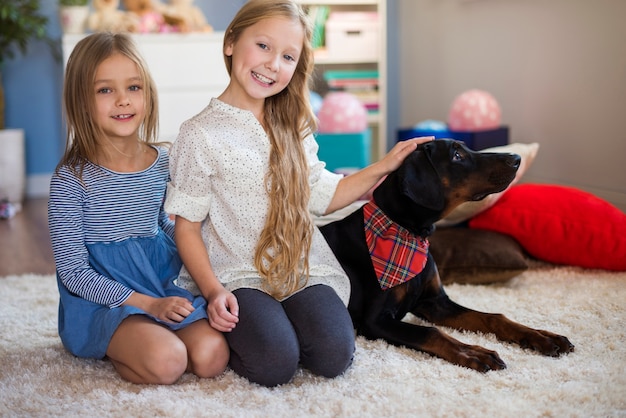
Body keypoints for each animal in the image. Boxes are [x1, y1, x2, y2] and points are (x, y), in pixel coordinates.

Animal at [320, 139, 572, 370]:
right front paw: (475, 353)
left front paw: (542, 337)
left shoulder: (436, 302)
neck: (409, 232)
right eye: (456, 156)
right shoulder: (375, 321)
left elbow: (492, 316)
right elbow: (432, 332)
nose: (516, 159)